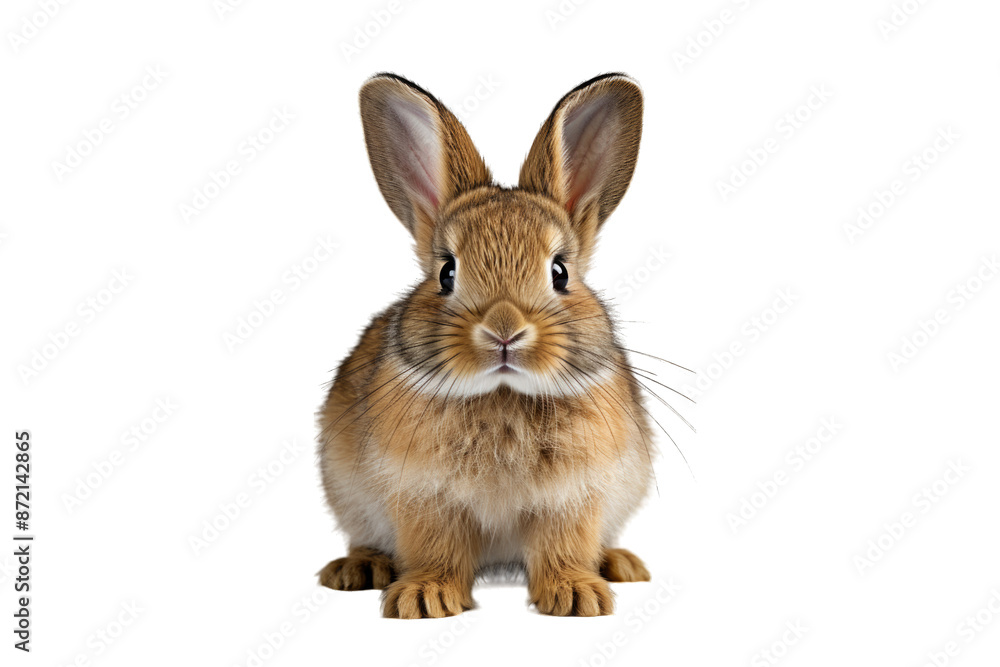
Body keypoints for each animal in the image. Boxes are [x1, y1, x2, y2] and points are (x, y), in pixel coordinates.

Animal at [317, 72, 656, 618]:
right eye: (446, 272)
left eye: (560, 272)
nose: (504, 329)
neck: (502, 394)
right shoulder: (424, 496)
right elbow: (434, 548)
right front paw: (425, 598)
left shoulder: (574, 498)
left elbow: (563, 545)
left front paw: (577, 597)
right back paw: (358, 569)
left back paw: (620, 564)